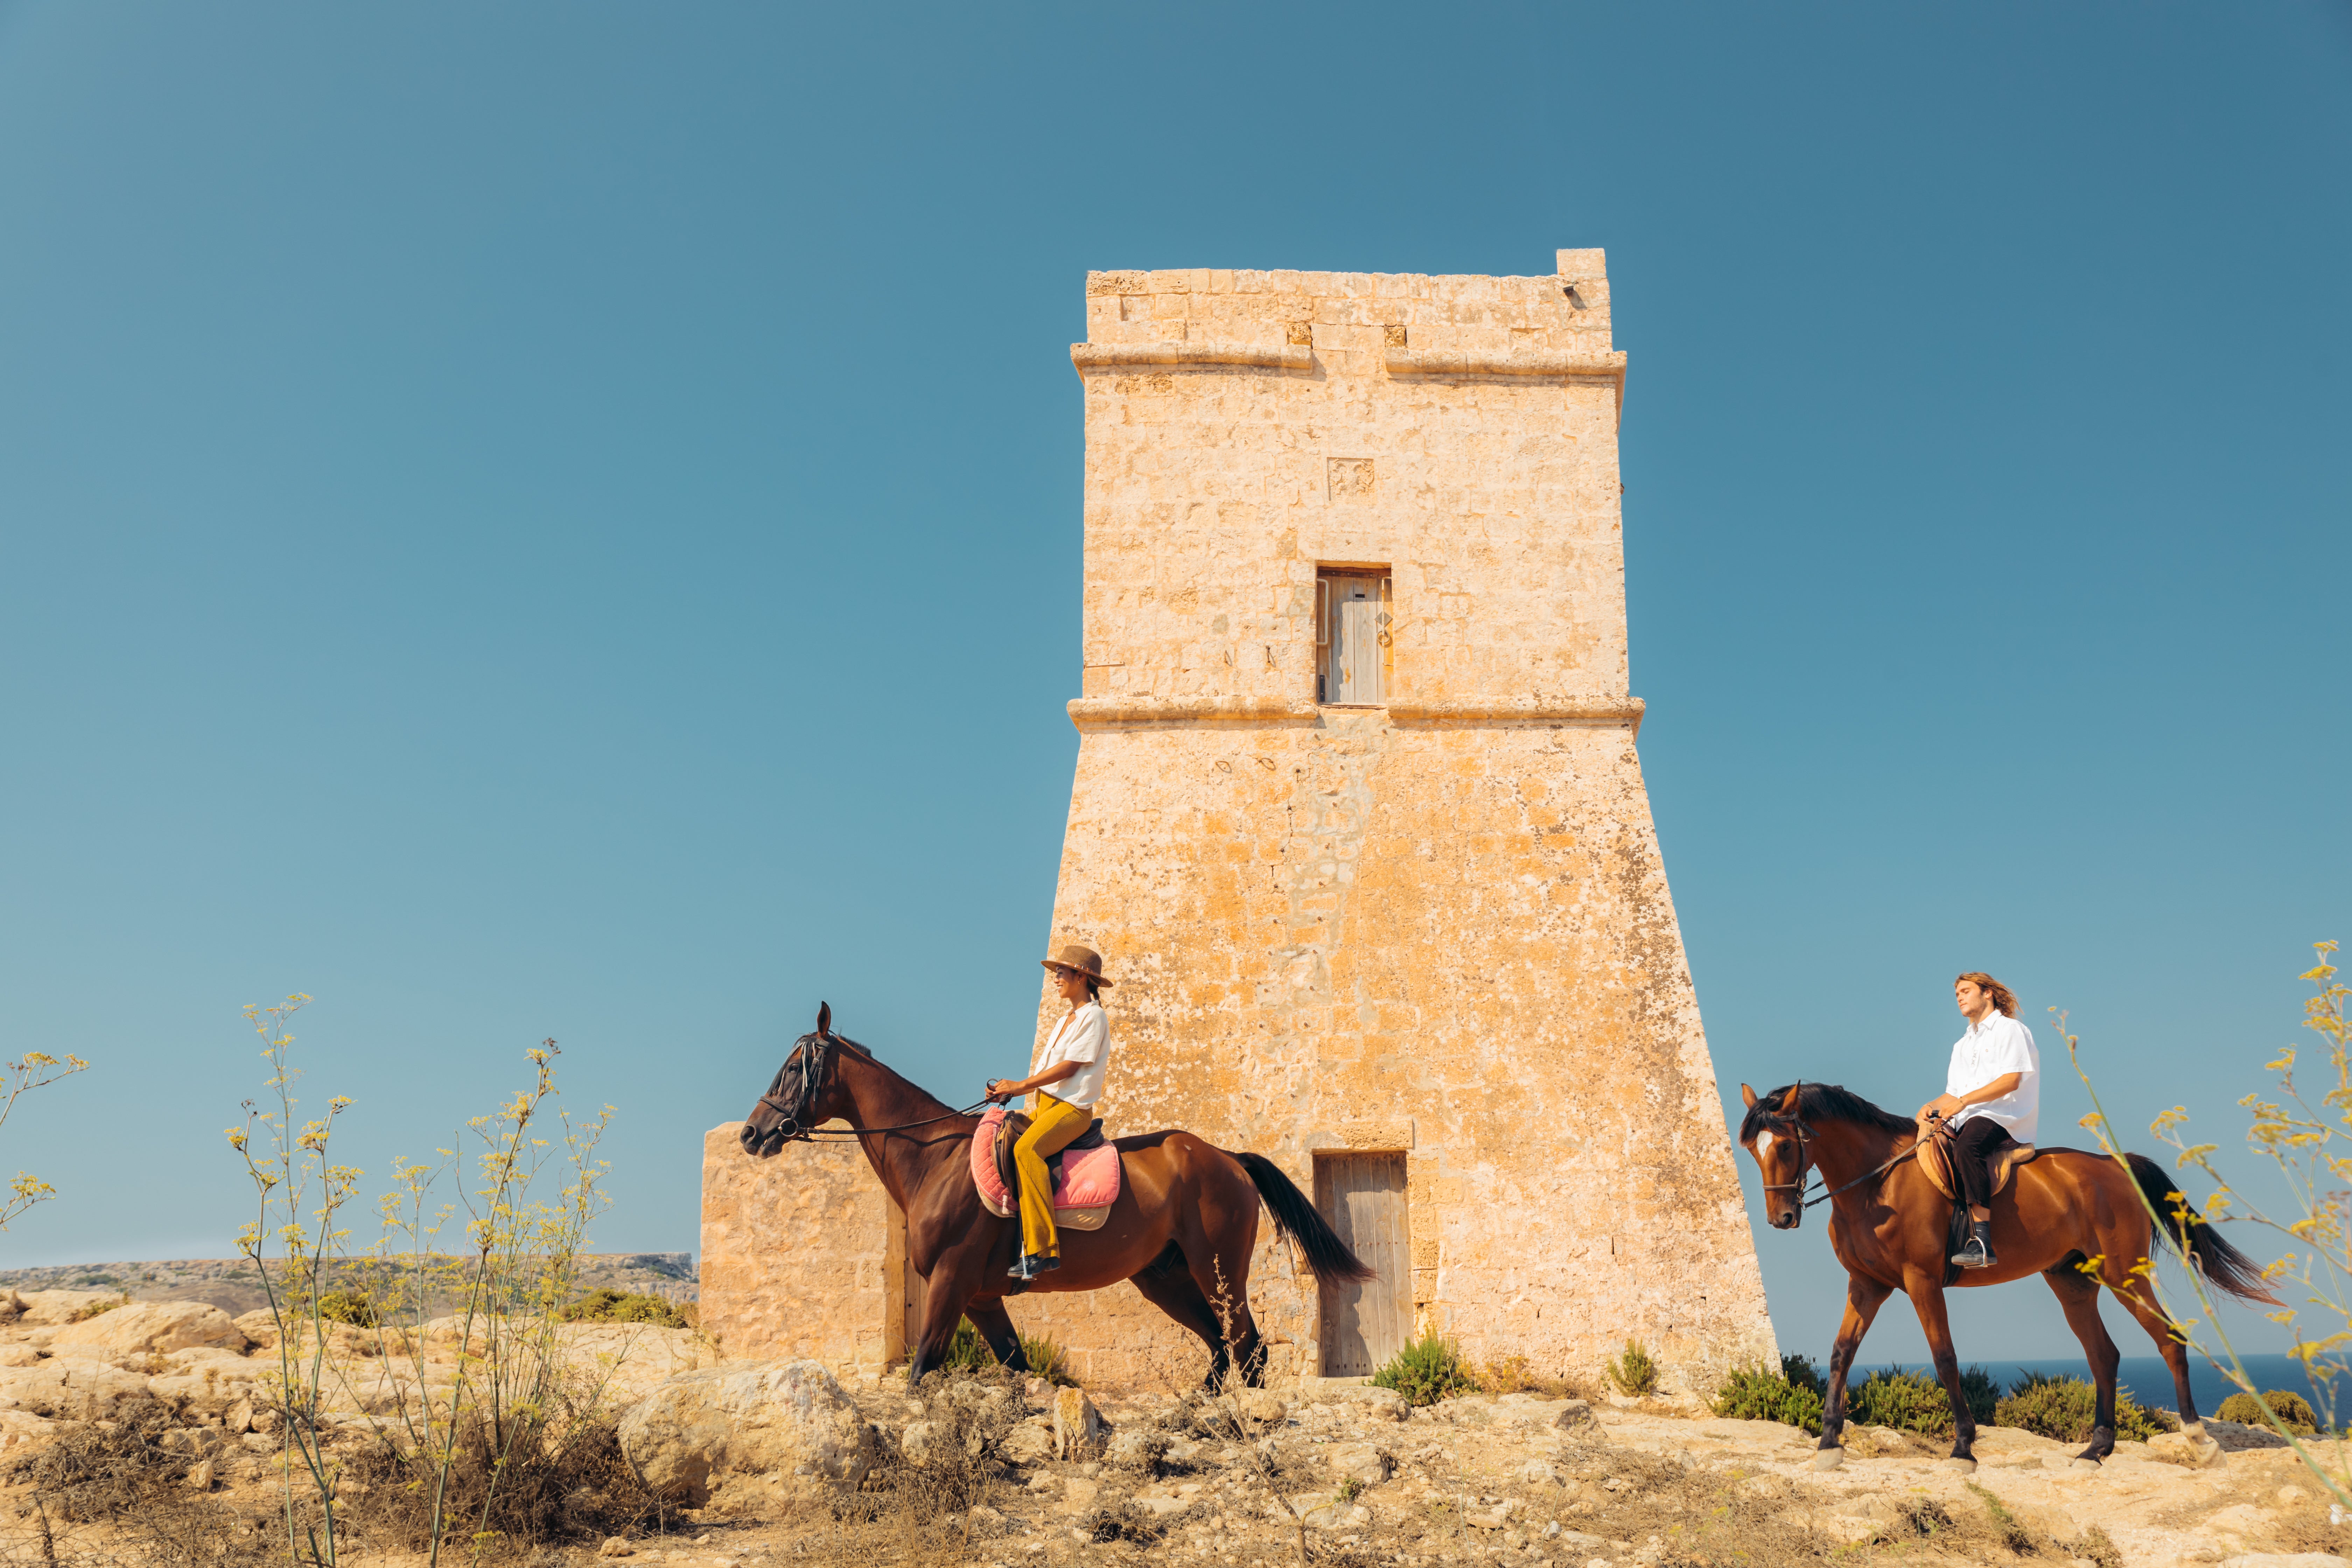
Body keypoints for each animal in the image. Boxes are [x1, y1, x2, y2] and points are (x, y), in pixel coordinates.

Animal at [738, 1006, 1373, 1382]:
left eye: (794, 1068)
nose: (751, 1134)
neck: (935, 1161)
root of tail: (1226, 1158)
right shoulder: (980, 1298)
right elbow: (1018, 1369)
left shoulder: (951, 1283)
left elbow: (922, 1369)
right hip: (1164, 1278)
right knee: (1221, 1349)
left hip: (1218, 1270)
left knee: (1248, 1348)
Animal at [1740, 1086, 2267, 1476]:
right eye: (1751, 1150)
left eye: (1784, 1145)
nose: (1781, 1218)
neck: (1877, 1185)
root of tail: (2115, 1166)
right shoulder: (1867, 1285)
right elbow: (1841, 1353)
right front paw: (1829, 1443)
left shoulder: (1921, 1282)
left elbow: (1945, 1358)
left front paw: (1963, 1448)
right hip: (2073, 1284)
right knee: (2104, 1356)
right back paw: (2095, 1451)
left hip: (2125, 1275)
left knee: (2170, 1340)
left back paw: (2202, 1444)